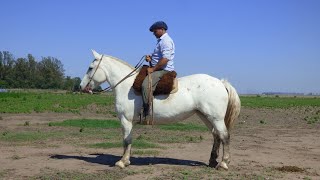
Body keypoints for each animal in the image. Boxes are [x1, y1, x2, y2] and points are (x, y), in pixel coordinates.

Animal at [80, 50, 240, 170]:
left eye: (90, 68)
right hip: (205, 116)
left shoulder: (126, 120)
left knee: (224, 136)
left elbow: (126, 140)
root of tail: (221, 82)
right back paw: (212, 161)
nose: (82, 86)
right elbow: (128, 140)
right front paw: (126, 160)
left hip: (215, 118)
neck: (126, 85)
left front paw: (122, 162)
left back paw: (223, 164)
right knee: (216, 136)